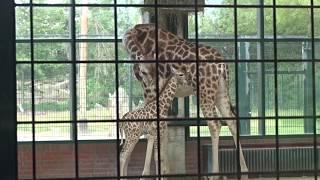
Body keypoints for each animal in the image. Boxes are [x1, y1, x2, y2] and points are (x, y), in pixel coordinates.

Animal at [122, 23, 248, 179]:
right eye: (144, 72)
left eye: (149, 71)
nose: (154, 82)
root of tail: (222, 66)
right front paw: (165, 171)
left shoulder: (149, 92)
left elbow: (152, 130)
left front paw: (147, 173)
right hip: (221, 91)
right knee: (232, 121)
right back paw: (244, 172)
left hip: (205, 92)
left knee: (215, 124)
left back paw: (214, 174)